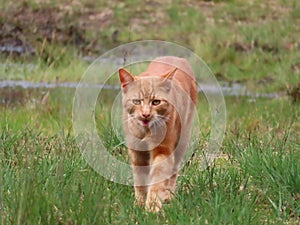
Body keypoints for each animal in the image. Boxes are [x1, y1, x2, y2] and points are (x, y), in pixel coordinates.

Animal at [118, 55, 198, 212]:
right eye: (136, 101)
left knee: (173, 172)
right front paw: (139, 203)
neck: (145, 132)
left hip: (182, 141)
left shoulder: (163, 150)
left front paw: (152, 206)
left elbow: (157, 179)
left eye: (156, 102)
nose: (145, 114)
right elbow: (140, 180)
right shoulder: (137, 153)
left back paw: (168, 197)